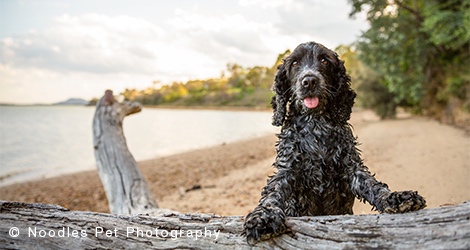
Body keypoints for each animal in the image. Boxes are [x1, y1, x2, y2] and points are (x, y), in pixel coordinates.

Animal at [242, 41, 426, 244]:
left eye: (324, 60)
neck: (315, 125)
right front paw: (262, 217)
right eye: (295, 63)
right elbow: (272, 193)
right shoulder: (288, 169)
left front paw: (395, 198)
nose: (309, 81)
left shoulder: (350, 166)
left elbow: (372, 184)